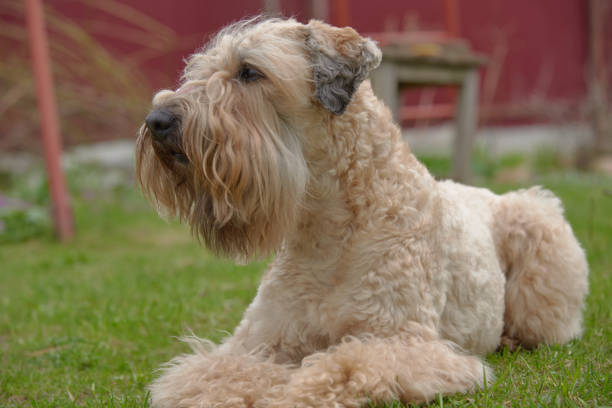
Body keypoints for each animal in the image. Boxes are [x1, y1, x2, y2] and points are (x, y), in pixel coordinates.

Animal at [135, 16, 588, 408]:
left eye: (249, 71)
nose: (157, 120)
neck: (329, 227)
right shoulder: (257, 341)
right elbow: (210, 375)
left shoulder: (403, 343)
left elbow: (336, 370)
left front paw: (285, 389)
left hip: (537, 228)